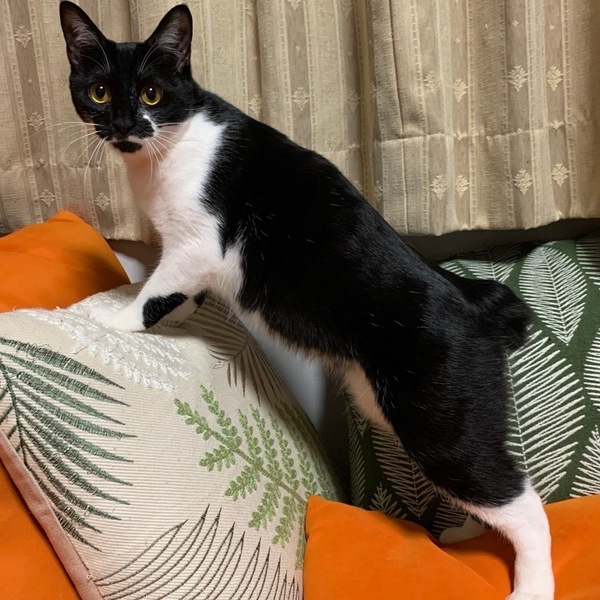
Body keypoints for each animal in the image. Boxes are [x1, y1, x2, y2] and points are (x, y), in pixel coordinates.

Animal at [60, 3, 553, 598]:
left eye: (152, 94)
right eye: (100, 92)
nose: (125, 125)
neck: (167, 148)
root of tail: (475, 300)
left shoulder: (199, 241)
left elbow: (155, 290)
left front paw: (109, 321)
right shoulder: (191, 256)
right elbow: (182, 294)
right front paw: (179, 314)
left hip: (435, 416)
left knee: (518, 498)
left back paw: (533, 585)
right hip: (388, 399)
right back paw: (464, 531)